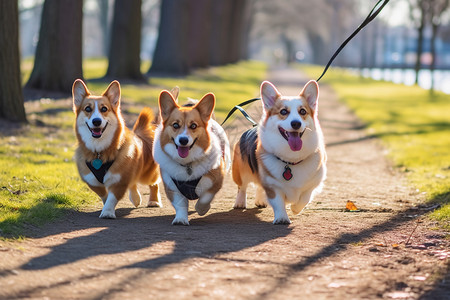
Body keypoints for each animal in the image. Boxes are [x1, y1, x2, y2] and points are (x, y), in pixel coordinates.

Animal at [71, 78, 161, 218]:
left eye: (104, 109)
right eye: (87, 108)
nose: (96, 121)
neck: (99, 151)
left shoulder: (120, 180)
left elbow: (112, 197)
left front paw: (107, 212)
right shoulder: (91, 180)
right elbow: (104, 194)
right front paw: (105, 206)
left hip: (147, 175)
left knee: (154, 182)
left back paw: (153, 201)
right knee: (133, 183)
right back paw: (136, 198)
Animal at [153, 89, 230, 225]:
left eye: (193, 126)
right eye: (175, 125)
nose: (183, 140)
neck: (187, 164)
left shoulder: (216, 182)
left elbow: (205, 198)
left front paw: (202, 209)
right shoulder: (171, 188)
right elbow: (181, 204)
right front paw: (180, 219)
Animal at [234, 81, 326, 224]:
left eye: (302, 111)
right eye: (283, 111)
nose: (296, 123)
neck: (291, 161)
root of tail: (251, 128)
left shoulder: (313, 183)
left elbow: (305, 198)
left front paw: (295, 209)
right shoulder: (272, 185)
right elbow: (278, 202)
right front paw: (282, 218)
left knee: (259, 186)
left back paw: (260, 201)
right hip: (241, 172)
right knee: (242, 187)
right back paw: (239, 202)